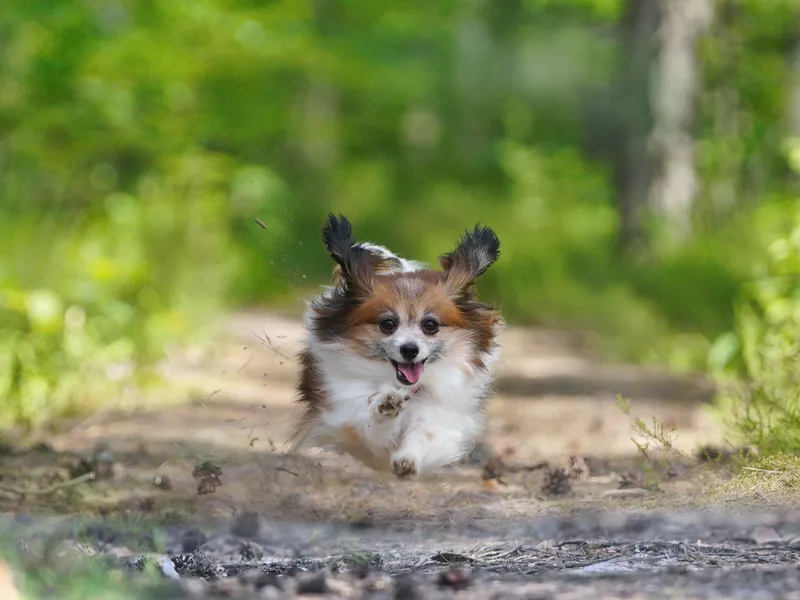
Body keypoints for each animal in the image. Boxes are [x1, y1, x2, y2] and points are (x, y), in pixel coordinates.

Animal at [288, 213, 504, 480]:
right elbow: (368, 419)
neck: (401, 387)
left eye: (430, 325)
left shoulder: (438, 419)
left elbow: (423, 435)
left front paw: (407, 460)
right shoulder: (344, 415)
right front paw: (384, 404)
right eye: (387, 324)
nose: (409, 350)